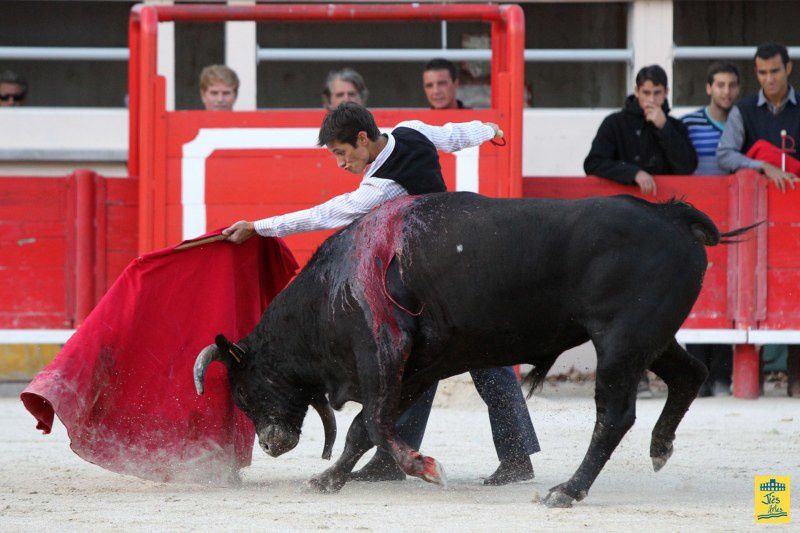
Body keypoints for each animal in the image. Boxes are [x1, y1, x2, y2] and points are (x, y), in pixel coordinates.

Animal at [195, 192, 752, 508]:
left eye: (244, 393)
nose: (270, 445)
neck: (337, 285)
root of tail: (672, 218)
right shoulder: (418, 368)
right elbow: (361, 429)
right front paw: (328, 479)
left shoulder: (383, 353)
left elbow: (371, 421)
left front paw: (424, 467)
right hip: (650, 339)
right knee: (690, 373)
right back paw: (659, 449)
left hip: (621, 342)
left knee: (614, 415)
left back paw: (567, 491)